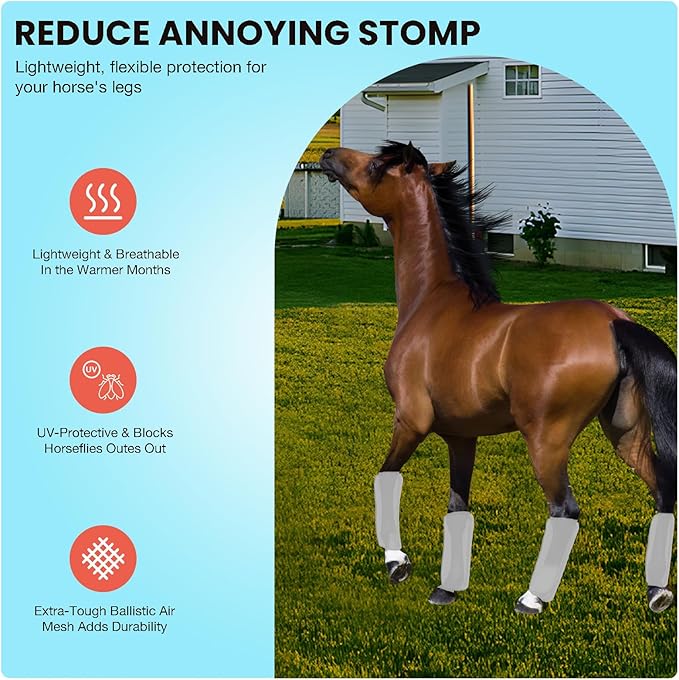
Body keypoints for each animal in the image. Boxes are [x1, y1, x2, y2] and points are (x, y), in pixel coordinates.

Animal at [320, 141, 676, 614]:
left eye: (378, 164)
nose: (328, 155)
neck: (431, 303)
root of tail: (614, 322)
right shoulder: (460, 437)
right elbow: (457, 506)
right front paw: (446, 589)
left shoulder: (411, 421)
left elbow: (386, 477)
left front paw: (398, 564)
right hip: (625, 433)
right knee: (662, 490)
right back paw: (658, 593)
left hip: (547, 441)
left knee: (565, 509)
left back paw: (532, 599)